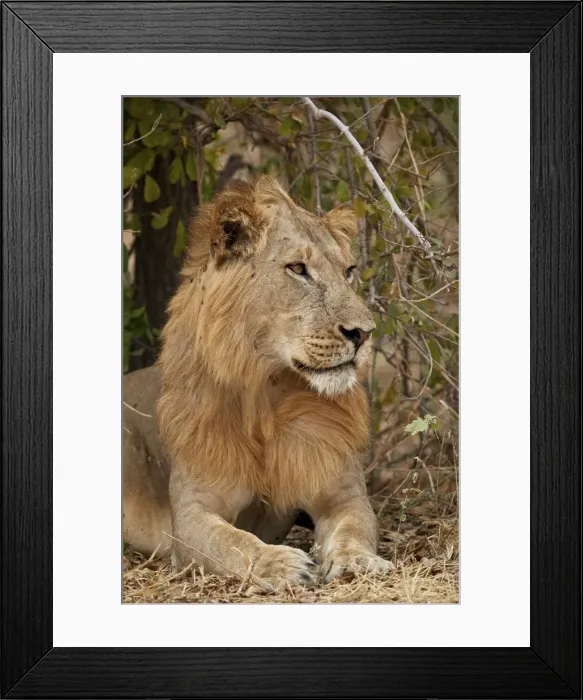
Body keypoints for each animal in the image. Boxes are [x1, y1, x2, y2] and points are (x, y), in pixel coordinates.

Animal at [123, 176, 392, 592]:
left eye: (348, 271)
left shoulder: (343, 494)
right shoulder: (190, 517)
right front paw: (281, 564)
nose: (363, 333)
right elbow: (233, 543)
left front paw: (357, 561)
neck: (269, 392)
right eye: (298, 268)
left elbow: (354, 529)